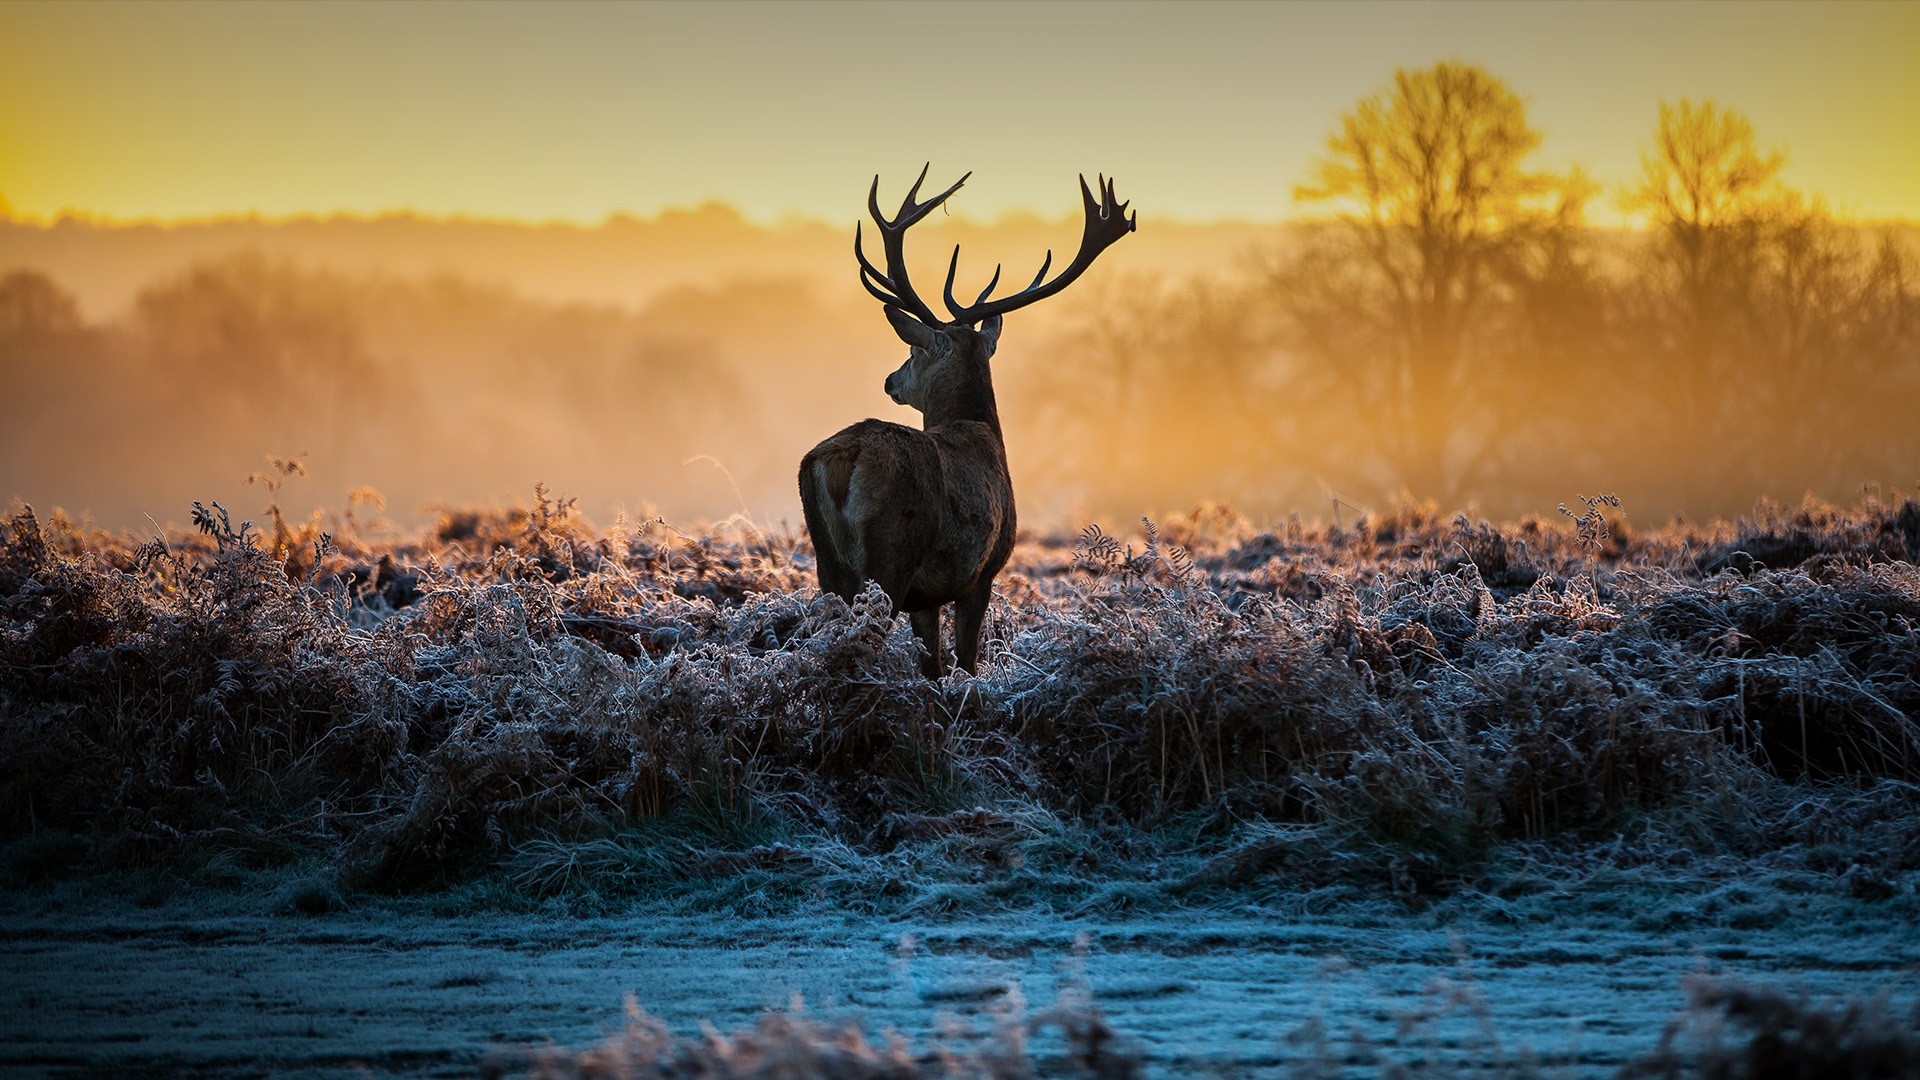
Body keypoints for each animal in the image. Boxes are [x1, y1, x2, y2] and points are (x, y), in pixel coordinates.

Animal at [798, 167, 1136, 678]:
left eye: (913, 350)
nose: (890, 380)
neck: (982, 430)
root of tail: (843, 458)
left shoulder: (928, 595)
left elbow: (933, 665)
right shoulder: (981, 571)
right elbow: (966, 662)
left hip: (828, 564)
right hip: (891, 555)